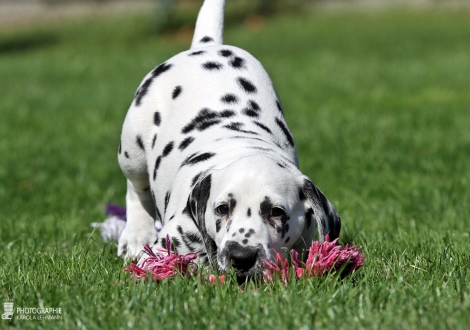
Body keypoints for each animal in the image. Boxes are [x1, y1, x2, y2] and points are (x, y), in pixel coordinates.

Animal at [116, 0, 340, 280]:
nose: (241, 257)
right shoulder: (162, 250)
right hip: (131, 149)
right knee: (136, 188)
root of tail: (206, 45)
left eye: (276, 212)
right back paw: (136, 235)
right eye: (222, 208)